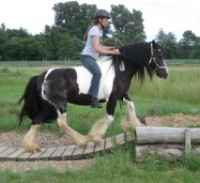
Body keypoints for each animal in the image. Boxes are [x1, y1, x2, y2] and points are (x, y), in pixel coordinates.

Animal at [18, 40, 167, 153]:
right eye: (158, 54)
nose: (165, 73)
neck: (119, 70)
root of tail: (41, 77)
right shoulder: (112, 98)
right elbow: (109, 118)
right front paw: (96, 138)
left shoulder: (122, 94)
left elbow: (131, 106)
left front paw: (135, 126)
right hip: (60, 104)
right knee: (61, 123)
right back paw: (82, 141)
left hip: (48, 106)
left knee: (36, 121)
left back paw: (31, 147)